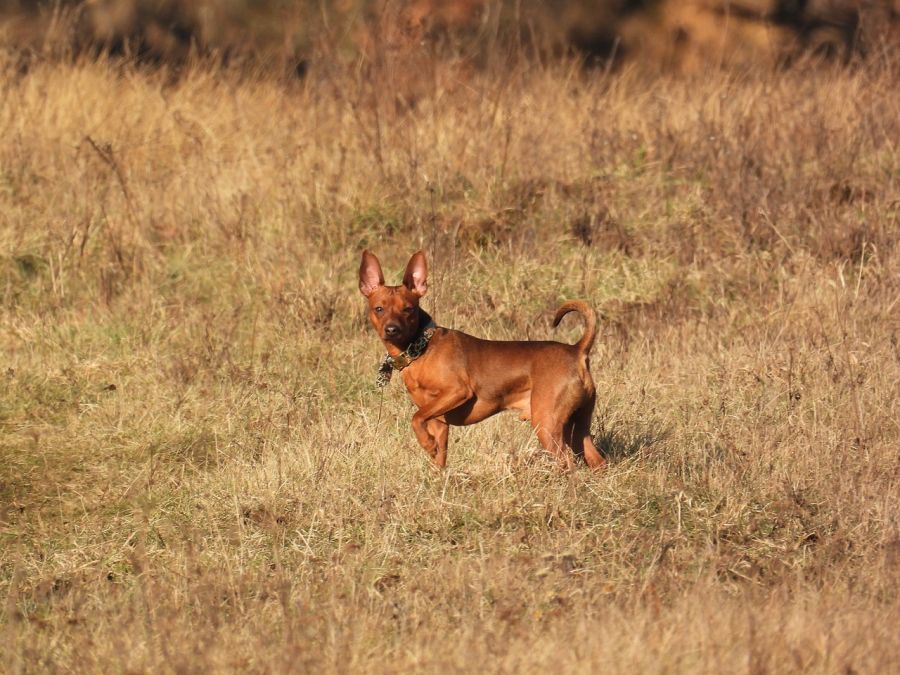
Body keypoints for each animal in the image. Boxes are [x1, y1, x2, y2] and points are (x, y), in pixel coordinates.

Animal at [358, 250, 604, 470]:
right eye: (379, 309)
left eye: (408, 309)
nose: (392, 330)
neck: (421, 348)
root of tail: (576, 350)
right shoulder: (439, 423)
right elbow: (437, 457)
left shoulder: (457, 392)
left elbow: (415, 418)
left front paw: (427, 444)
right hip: (577, 427)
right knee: (597, 461)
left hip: (547, 424)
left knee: (568, 464)